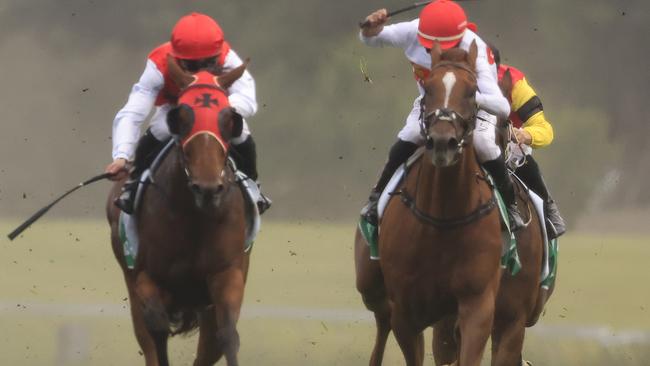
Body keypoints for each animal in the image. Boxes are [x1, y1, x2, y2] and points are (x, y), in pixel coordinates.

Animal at [105, 55, 249, 366]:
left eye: (229, 119)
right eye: (181, 117)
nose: (207, 187)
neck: (195, 219)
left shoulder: (227, 274)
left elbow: (227, 336)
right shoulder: (146, 278)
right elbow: (157, 331)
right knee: (148, 336)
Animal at [354, 41, 502, 364]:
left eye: (471, 91)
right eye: (428, 88)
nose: (443, 142)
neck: (444, 219)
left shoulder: (477, 304)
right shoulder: (406, 311)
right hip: (370, 285)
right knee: (382, 320)